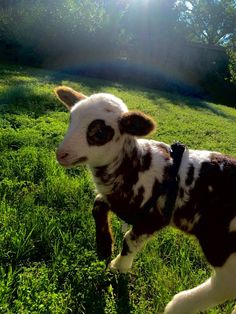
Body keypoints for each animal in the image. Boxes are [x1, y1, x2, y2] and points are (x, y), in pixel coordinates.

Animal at [54, 86, 236, 314]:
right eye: (71, 119)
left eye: (100, 133)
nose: (61, 154)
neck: (135, 166)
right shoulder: (121, 201)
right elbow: (98, 205)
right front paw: (104, 246)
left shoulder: (155, 218)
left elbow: (129, 239)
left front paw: (118, 267)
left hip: (222, 247)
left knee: (222, 285)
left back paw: (177, 304)